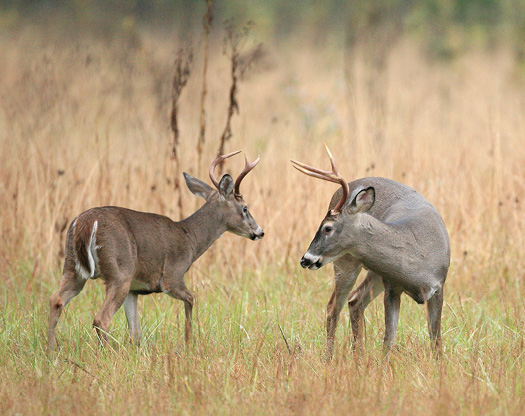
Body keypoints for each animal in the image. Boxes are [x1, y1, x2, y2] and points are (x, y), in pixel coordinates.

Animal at [47, 150, 264, 352]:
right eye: (245, 208)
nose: (259, 232)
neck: (190, 238)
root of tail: (86, 223)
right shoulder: (172, 276)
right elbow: (191, 298)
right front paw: (188, 343)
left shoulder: (134, 289)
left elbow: (135, 333)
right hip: (119, 271)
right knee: (101, 318)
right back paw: (106, 355)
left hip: (73, 267)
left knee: (56, 300)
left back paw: (50, 352)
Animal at [290, 145, 446, 358]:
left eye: (327, 228)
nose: (305, 259)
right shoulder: (392, 287)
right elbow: (389, 340)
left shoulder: (438, 286)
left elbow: (436, 340)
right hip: (347, 264)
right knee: (334, 307)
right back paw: (329, 358)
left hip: (375, 272)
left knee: (355, 300)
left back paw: (359, 356)